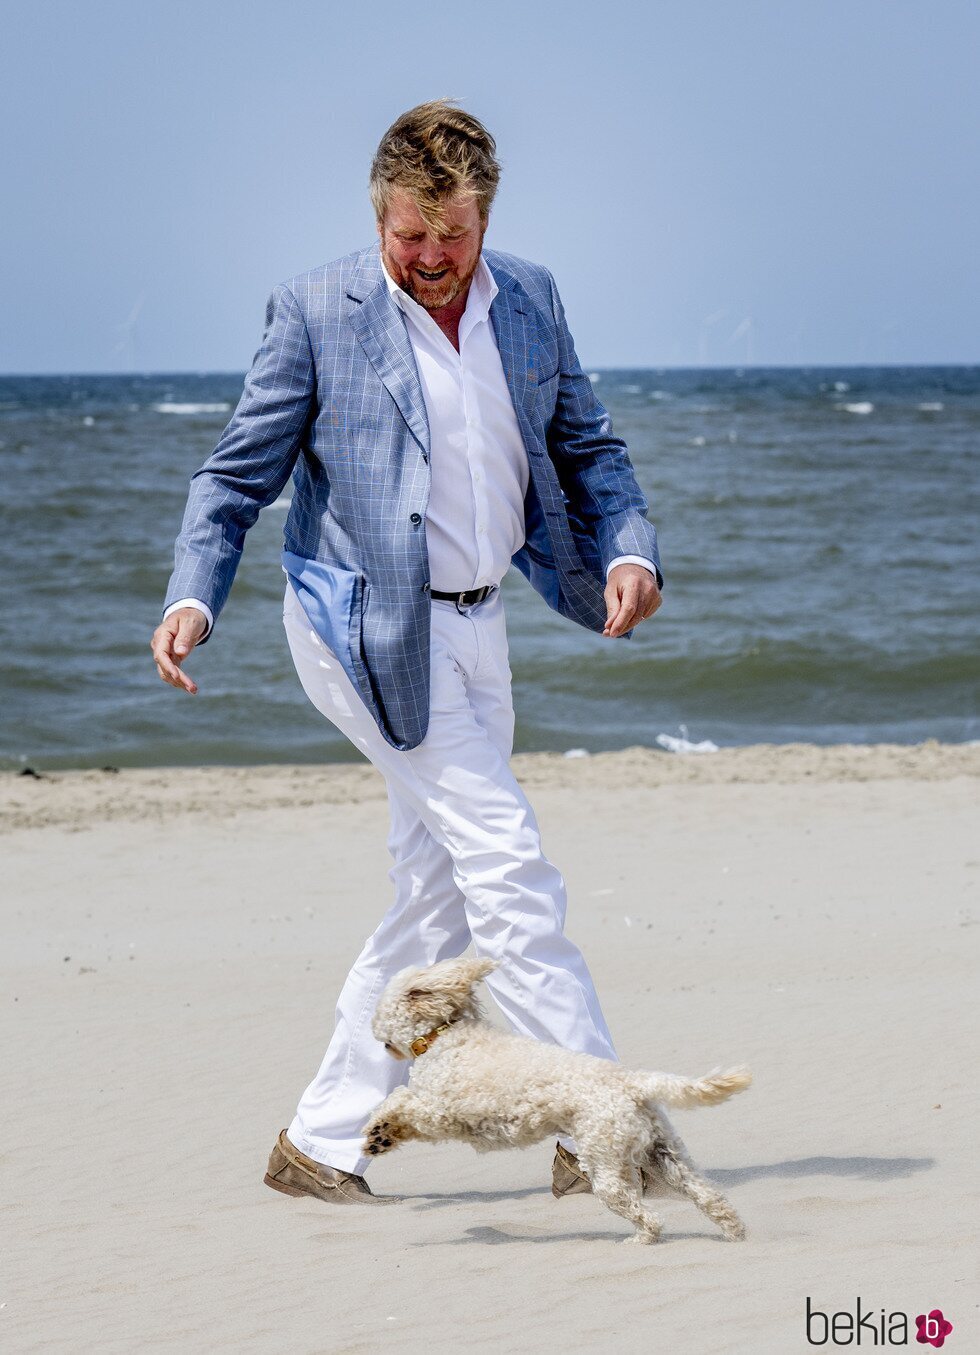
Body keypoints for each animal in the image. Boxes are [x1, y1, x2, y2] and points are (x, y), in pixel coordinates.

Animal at [363, 953, 753, 1241]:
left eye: (380, 1009)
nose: (373, 1033)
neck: (443, 1035)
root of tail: (632, 1081)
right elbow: (403, 1108)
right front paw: (382, 1136)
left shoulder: (444, 1110)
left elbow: (400, 1101)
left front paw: (377, 1134)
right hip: (665, 1152)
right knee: (708, 1194)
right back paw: (735, 1232)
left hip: (604, 1158)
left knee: (641, 1211)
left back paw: (642, 1238)